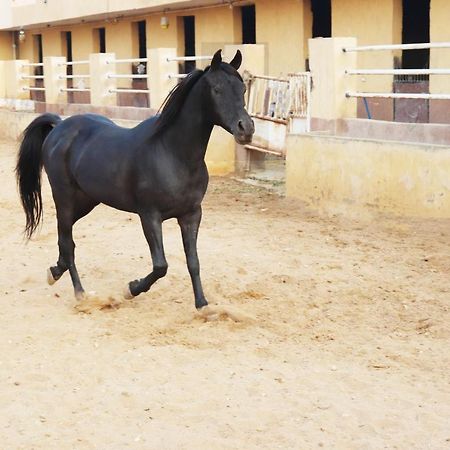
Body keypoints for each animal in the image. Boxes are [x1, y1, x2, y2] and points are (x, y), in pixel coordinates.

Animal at [15, 49, 255, 310]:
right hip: (65, 197)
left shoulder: (191, 214)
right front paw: (131, 289)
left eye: (242, 89)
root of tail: (59, 126)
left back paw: (55, 272)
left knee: (65, 238)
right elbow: (161, 266)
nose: (246, 128)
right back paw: (80, 293)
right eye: (217, 89)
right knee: (67, 242)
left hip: (87, 201)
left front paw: (202, 305)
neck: (172, 153)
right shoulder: (149, 215)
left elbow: (193, 261)